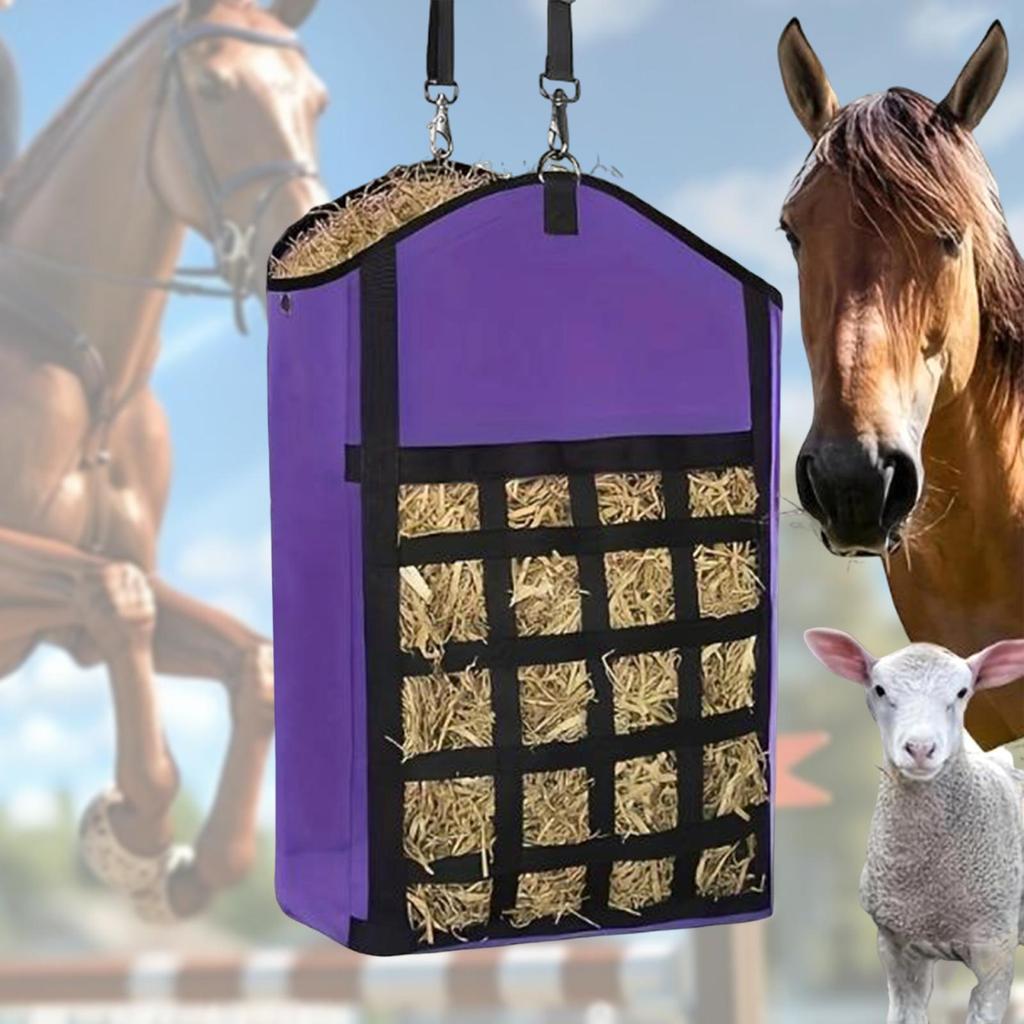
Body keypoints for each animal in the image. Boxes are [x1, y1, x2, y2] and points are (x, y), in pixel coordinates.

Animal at [0, 0, 327, 920]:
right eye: (213, 89)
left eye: (315, 101)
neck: (92, 378)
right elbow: (118, 600)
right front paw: (136, 826)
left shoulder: (70, 622)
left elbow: (249, 660)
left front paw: (189, 867)